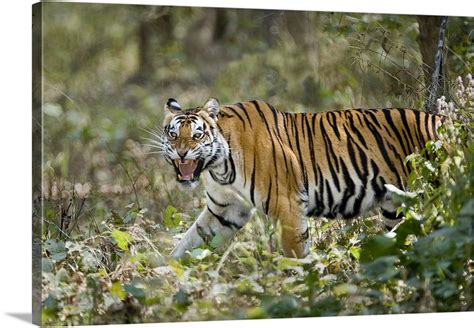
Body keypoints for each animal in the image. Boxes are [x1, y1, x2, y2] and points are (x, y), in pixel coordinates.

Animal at [157, 97, 442, 258]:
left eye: (197, 135)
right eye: (173, 134)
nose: (181, 153)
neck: (220, 166)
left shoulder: (286, 204)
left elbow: (295, 254)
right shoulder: (225, 210)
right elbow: (189, 242)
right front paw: (162, 276)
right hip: (395, 208)